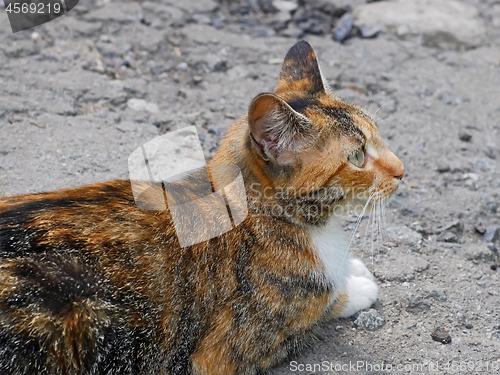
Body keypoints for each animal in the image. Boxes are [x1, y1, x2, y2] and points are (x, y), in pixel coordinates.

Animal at [0, 41, 402, 375]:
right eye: (357, 156)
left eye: (378, 136)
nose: (402, 171)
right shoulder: (219, 355)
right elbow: (322, 306)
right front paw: (355, 286)